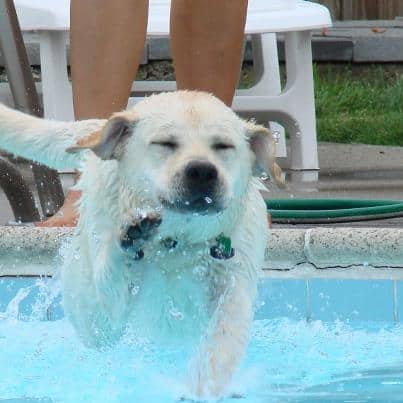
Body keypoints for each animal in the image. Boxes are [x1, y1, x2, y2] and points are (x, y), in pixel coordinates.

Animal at [0, 90, 282, 398]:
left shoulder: (233, 284)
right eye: (165, 143)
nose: (202, 171)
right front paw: (129, 239)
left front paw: (201, 388)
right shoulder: (105, 314)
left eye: (223, 146)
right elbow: (110, 298)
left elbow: (220, 344)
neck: (177, 242)